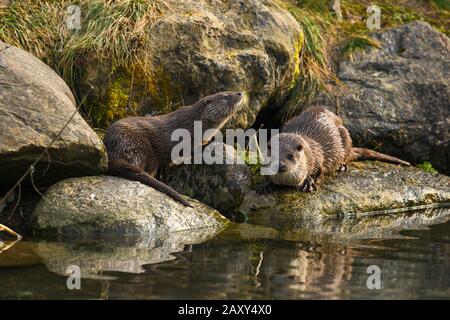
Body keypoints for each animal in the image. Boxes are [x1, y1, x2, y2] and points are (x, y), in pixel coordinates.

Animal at [103, 90, 244, 206]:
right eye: (225, 96)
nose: (240, 93)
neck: (194, 123)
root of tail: (111, 150)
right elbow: (193, 149)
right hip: (138, 146)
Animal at [268, 106, 410, 191]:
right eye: (273, 155)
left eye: (290, 155)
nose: (280, 165)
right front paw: (267, 185)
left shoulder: (318, 157)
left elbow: (318, 171)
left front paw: (308, 182)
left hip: (345, 136)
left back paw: (342, 166)